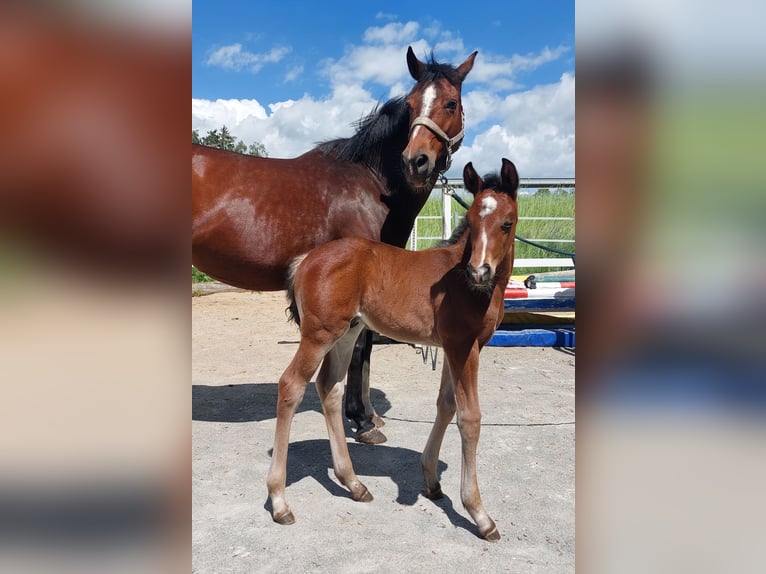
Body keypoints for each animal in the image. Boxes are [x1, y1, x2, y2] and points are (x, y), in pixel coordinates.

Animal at [192, 47, 477, 444]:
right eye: (411, 103)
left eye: (451, 102)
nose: (415, 161)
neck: (369, 182)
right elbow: (360, 347)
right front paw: (361, 420)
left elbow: (365, 345)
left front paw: (368, 414)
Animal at [267, 159, 520, 541]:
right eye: (473, 223)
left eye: (506, 223)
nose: (478, 271)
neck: (467, 284)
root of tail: (307, 259)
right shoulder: (466, 347)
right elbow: (469, 418)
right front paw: (479, 513)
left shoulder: (451, 347)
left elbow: (446, 405)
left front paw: (431, 481)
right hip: (319, 334)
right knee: (291, 385)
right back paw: (280, 502)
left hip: (348, 332)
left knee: (330, 387)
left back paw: (354, 484)